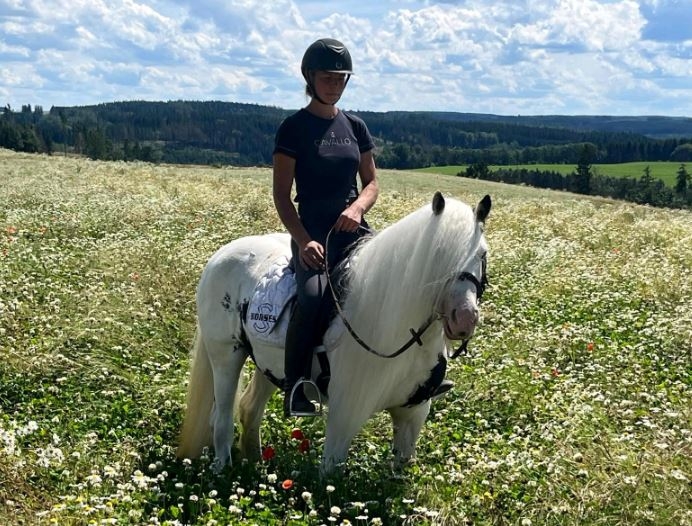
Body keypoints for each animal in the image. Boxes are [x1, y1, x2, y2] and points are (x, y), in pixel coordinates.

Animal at [178, 193, 492, 474]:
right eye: (437, 255)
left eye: (482, 254)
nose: (464, 319)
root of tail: (223, 254)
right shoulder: (345, 413)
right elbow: (331, 474)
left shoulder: (414, 411)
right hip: (225, 356)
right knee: (221, 419)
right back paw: (222, 470)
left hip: (268, 365)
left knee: (249, 409)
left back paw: (255, 463)